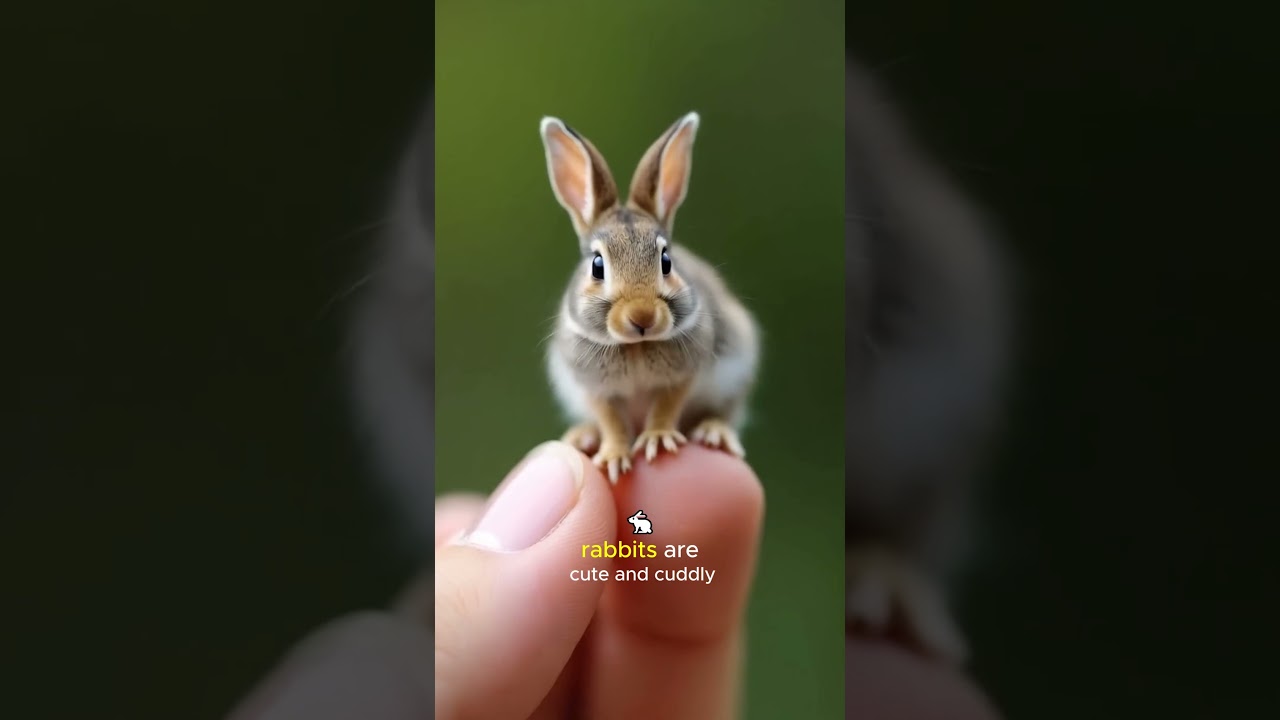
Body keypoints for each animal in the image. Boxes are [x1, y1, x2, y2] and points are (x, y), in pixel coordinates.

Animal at [539, 112, 761, 483]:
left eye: (666, 260)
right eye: (597, 266)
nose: (642, 317)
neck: (636, 345)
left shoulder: (684, 374)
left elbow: (667, 406)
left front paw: (657, 438)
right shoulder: (594, 387)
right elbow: (611, 420)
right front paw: (613, 456)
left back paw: (714, 432)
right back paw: (582, 436)